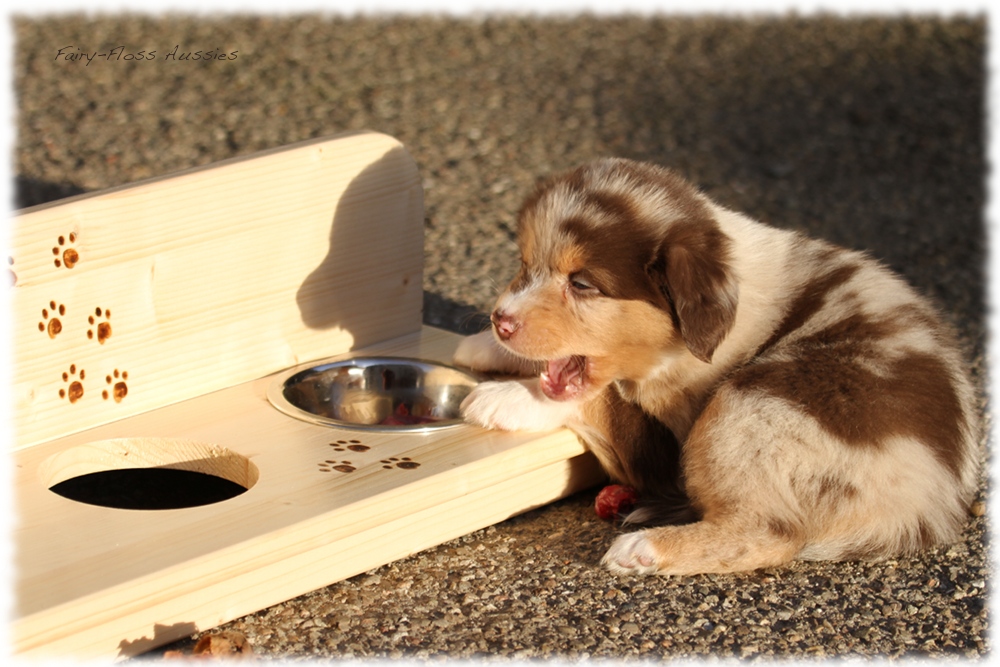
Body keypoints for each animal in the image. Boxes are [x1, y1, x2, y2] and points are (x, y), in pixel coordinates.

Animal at [456, 159, 984, 576]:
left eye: (582, 284)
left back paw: (644, 549)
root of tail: (932, 503)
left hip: (750, 403)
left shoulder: (662, 444)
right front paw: (478, 346)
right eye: (524, 264)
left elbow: (599, 397)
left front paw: (503, 398)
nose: (501, 319)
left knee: (768, 535)